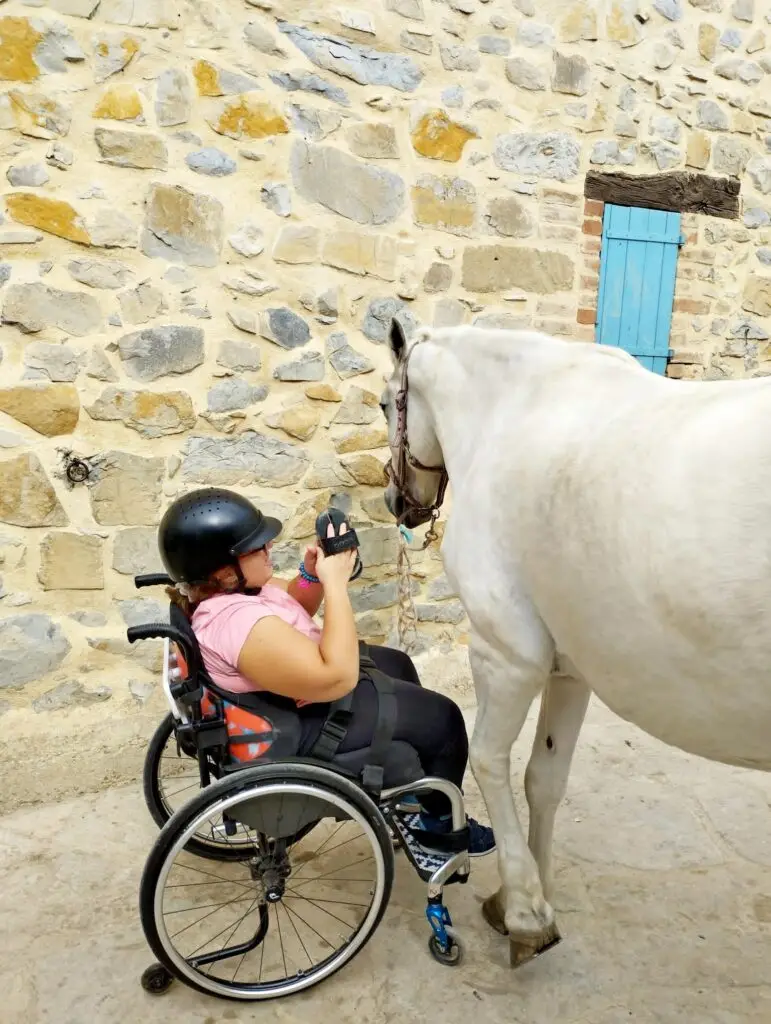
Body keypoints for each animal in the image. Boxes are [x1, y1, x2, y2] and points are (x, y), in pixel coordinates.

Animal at [380, 318, 771, 968]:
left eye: (388, 403)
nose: (398, 501)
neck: (511, 411)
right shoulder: (570, 668)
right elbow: (545, 777)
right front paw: (528, 891)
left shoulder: (506, 656)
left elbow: (489, 760)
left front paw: (524, 910)